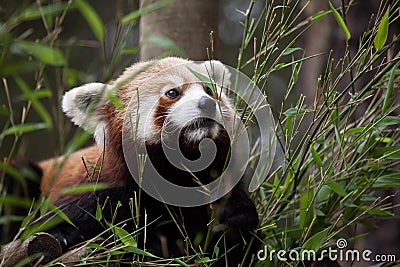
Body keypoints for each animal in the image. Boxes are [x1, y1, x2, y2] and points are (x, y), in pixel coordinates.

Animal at [36, 57, 258, 266]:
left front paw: (237, 215)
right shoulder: (97, 190)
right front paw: (61, 233)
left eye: (209, 90)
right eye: (172, 92)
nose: (207, 103)